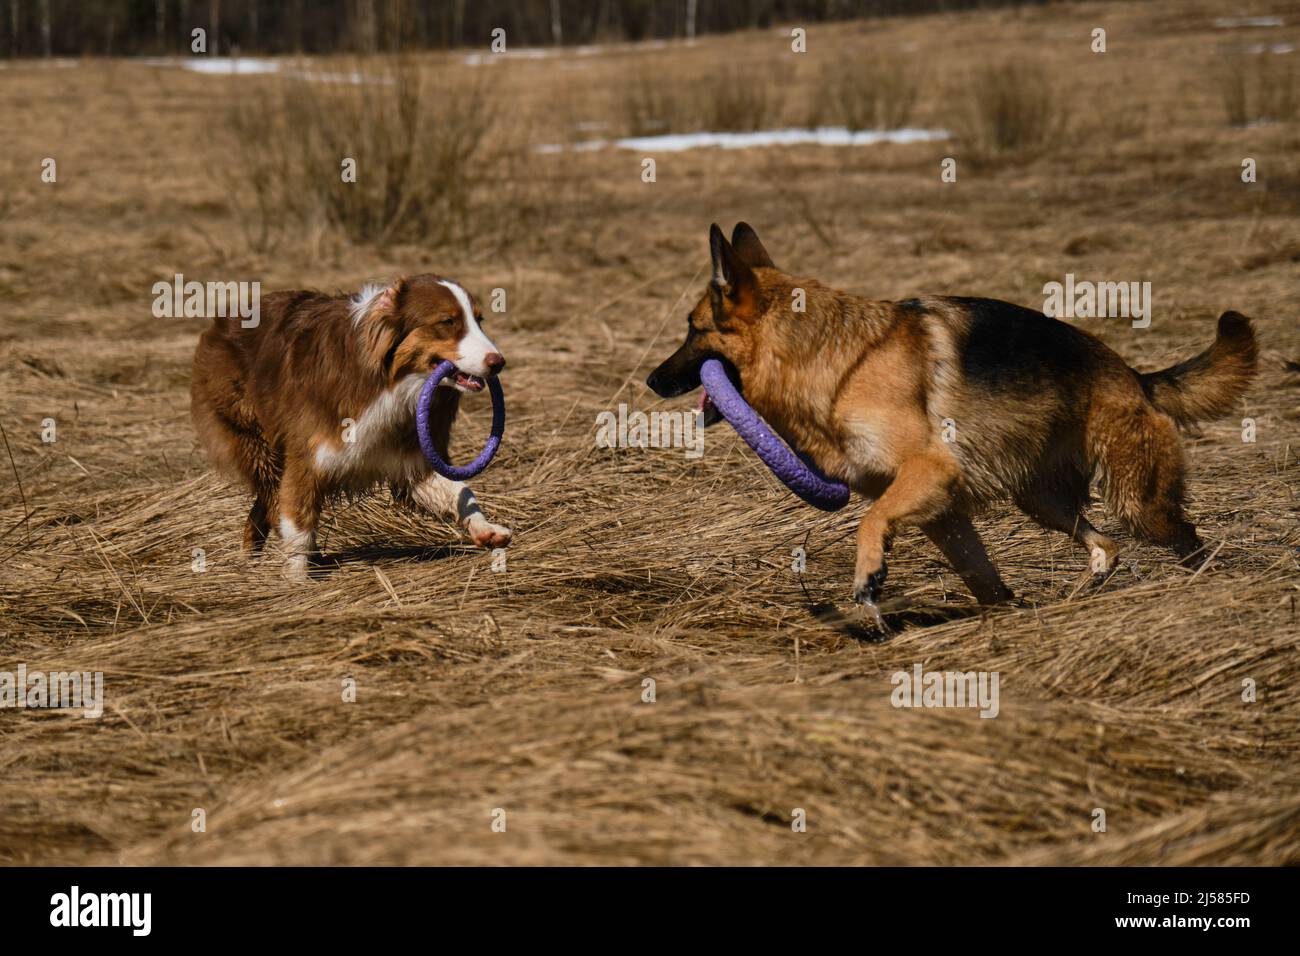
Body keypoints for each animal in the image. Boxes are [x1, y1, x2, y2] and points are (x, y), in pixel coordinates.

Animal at [189, 273, 509, 580]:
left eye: (479, 320)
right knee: (271, 499)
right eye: (448, 322)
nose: (499, 362)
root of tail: (225, 319)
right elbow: (298, 524)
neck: (390, 383)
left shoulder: (411, 458)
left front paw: (485, 529)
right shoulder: (307, 461)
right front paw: (297, 583)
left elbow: (459, 490)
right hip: (257, 443)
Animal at [650, 222, 1258, 613]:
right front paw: (1005, 617)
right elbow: (981, 577)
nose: (652, 381)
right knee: (1105, 546)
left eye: (692, 329)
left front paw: (868, 576)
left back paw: (1206, 586)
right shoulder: (942, 512)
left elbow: (871, 522)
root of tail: (1133, 374)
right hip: (1042, 502)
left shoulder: (930, 471)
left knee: (1185, 539)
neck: (834, 359)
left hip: (1138, 502)